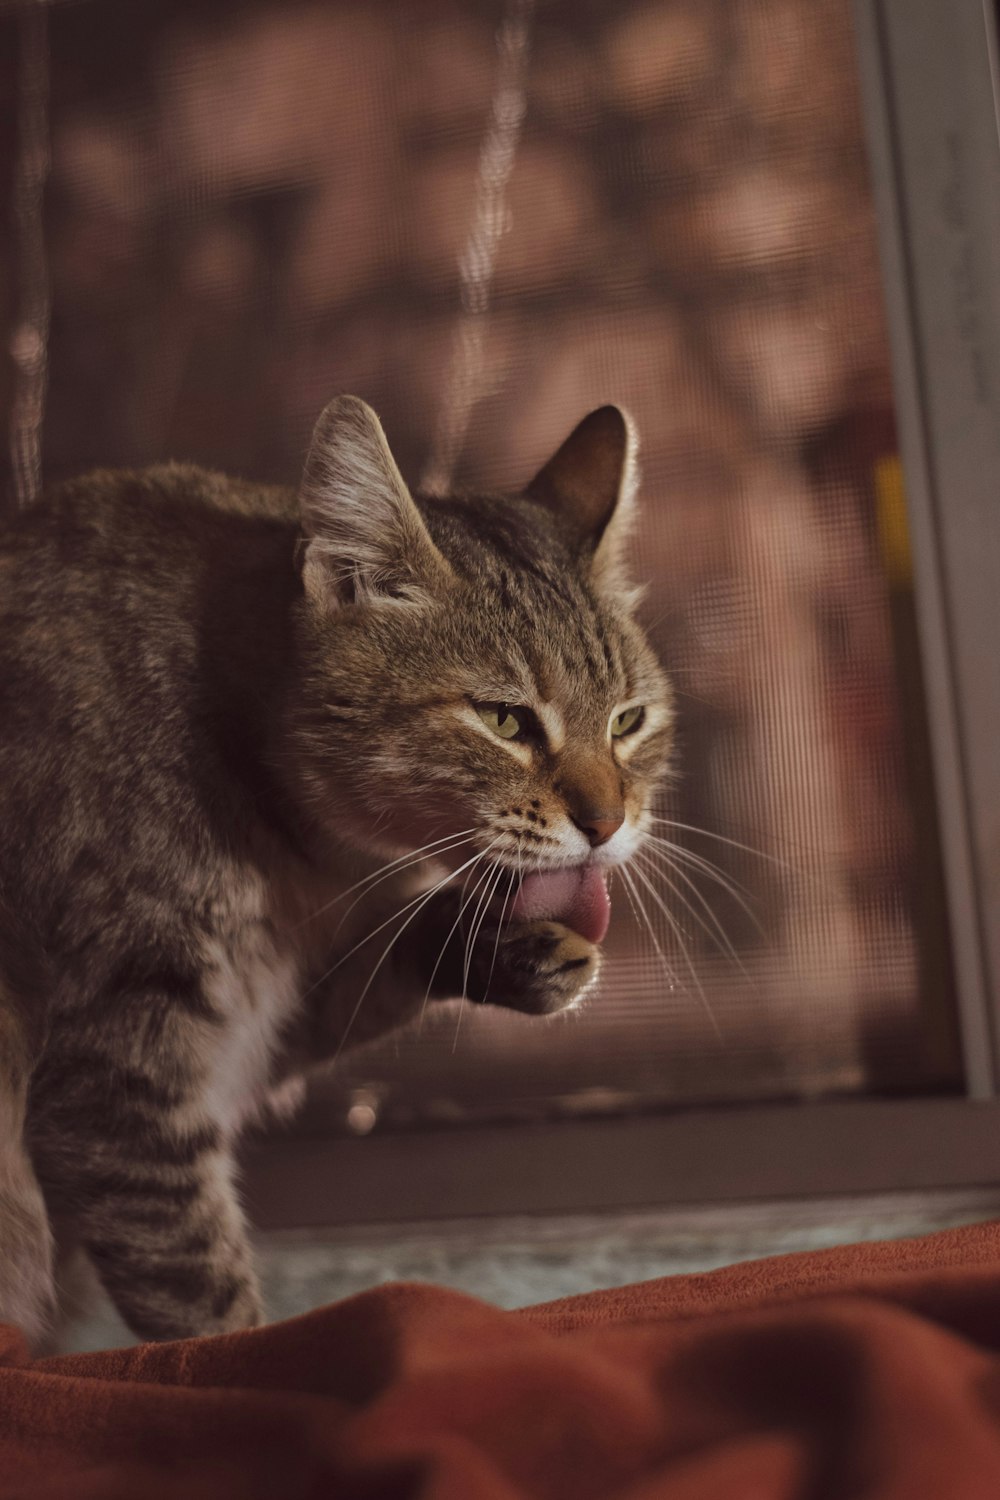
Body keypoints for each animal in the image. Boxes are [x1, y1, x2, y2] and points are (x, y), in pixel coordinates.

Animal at [0, 399, 677, 1350]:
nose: (608, 825)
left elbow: (380, 967)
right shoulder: (114, 1084)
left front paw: (505, 948)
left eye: (628, 721)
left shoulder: (268, 1022)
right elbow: (203, 1303)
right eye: (504, 719)